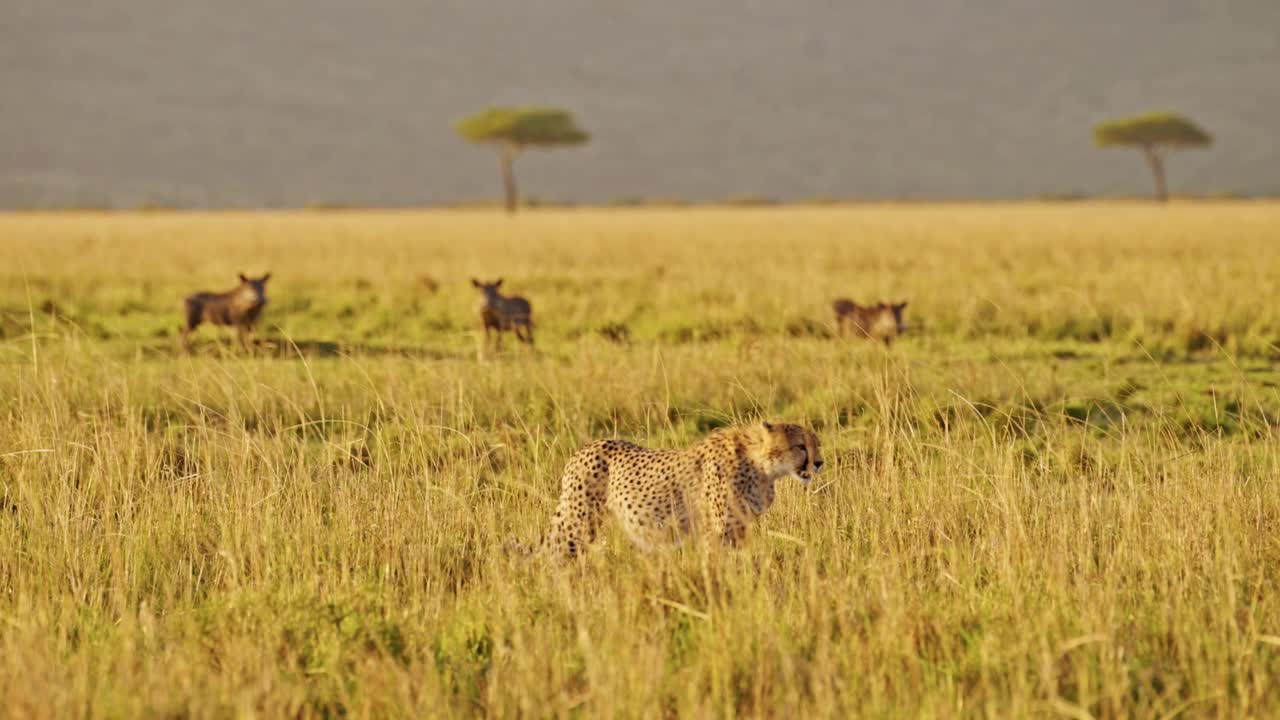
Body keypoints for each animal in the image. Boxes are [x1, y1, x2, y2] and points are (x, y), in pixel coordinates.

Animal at [537, 417, 819, 558]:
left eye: (817, 444)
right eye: (800, 446)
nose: (819, 463)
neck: (761, 465)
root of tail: (584, 448)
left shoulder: (739, 527)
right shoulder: (718, 529)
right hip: (578, 521)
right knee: (555, 552)